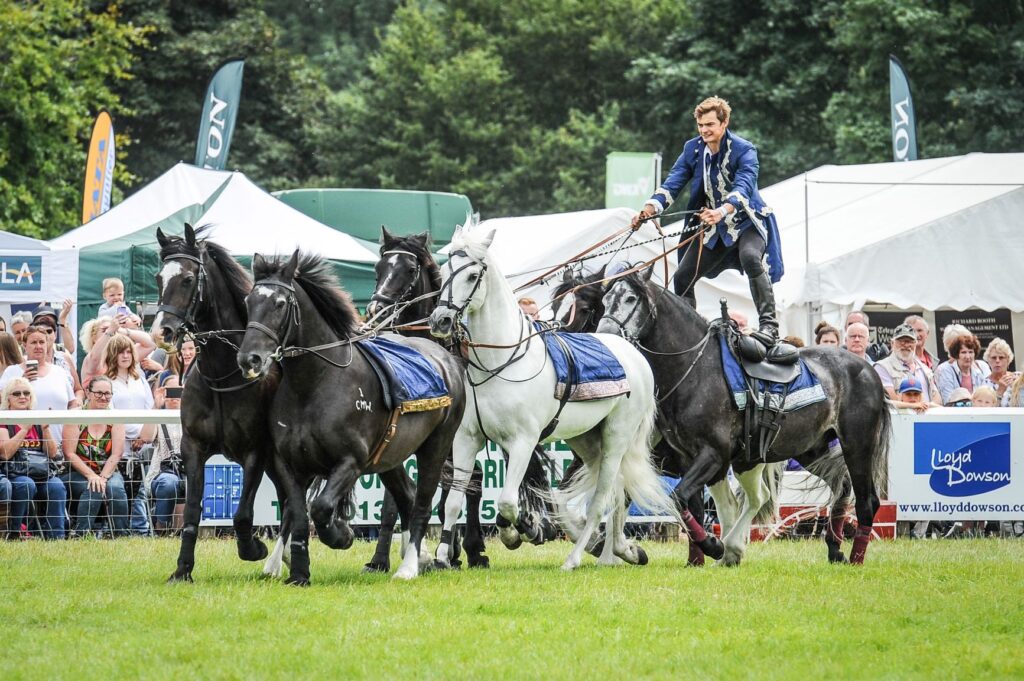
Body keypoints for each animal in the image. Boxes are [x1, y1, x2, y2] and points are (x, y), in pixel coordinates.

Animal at [150, 224, 284, 585]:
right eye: (158, 277)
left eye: (187, 279)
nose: (161, 332)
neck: (223, 376)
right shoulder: (193, 449)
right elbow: (193, 511)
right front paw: (182, 569)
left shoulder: (255, 453)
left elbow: (242, 514)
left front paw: (253, 548)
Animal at [237, 251, 466, 581]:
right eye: (248, 301)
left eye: (280, 303)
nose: (250, 359)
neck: (315, 383)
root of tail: (447, 360)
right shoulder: (290, 464)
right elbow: (297, 514)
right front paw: (298, 574)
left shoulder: (350, 461)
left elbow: (320, 507)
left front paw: (341, 534)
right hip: (391, 457)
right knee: (407, 496)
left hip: (436, 447)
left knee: (422, 503)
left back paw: (409, 566)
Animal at [425, 224, 679, 569]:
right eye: (444, 271)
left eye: (472, 274)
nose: (439, 320)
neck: (501, 362)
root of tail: (634, 355)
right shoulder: (466, 440)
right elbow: (453, 501)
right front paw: (441, 556)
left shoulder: (523, 441)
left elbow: (507, 502)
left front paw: (520, 531)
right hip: (587, 440)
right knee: (614, 491)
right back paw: (620, 551)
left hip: (617, 438)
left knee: (601, 499)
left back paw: (575, 558)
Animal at [598, 268, 888, 565]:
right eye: (605, 299)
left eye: (631, 298)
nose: (605, 334)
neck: (696, 370)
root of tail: (867, 369)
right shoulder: (693, 460)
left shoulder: (713, 454)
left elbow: (678, 498)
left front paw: (713, 547)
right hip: (808, 450)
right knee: (840, 487)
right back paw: (833, 548)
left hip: (857, 446)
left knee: (867, 501)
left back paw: (855, 558)